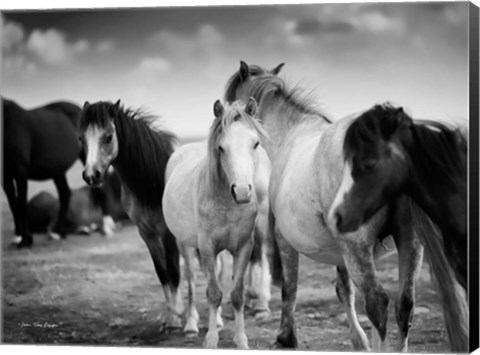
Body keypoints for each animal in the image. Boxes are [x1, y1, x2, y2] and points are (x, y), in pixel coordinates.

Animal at [3, 97, 109, 248]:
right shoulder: (5, 176)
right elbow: (14, 204)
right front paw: (19, 236)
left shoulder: (20, 170)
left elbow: (21, 204)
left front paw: (26, 239)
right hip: (57, 170)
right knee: (65, 193)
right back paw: (60, 231)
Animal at [80, 99, 182, 328]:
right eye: (81, 138)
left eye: (109, 136)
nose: (91, 175)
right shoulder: (147, 233)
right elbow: (162, 273)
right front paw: (170, 316)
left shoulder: (168, 234)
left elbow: (173, 272)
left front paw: (176, 319)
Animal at [162, 98, 270, 350]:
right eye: (221, 148)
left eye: (255, 143)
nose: (242, 191)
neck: (227, 205)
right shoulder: (207, 247)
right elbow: (213, 293)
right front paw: (211, 340)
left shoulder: (243, 247)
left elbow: (236, 294)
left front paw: (241, 339)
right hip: (185, 244)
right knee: (191, 279)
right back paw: (191, 324)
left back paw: (218, 320)